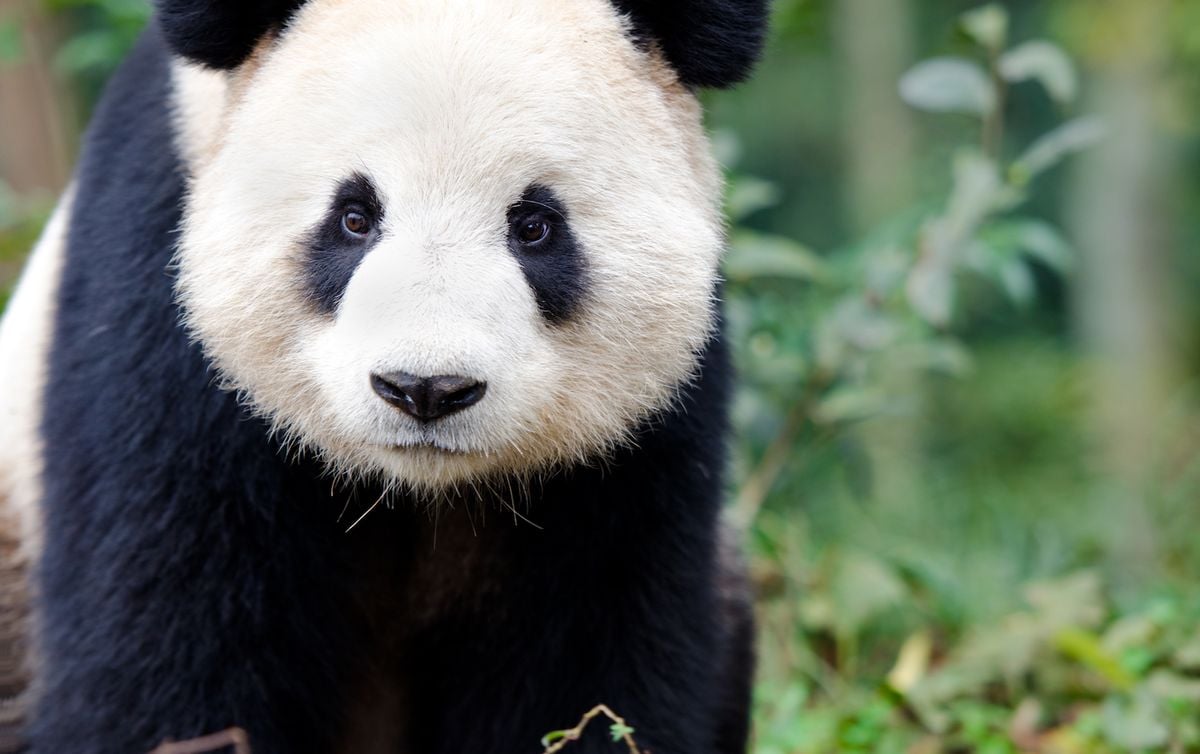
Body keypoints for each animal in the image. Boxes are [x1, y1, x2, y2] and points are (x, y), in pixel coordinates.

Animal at [0, 0, 768, 749]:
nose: (425, 390)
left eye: (534, 226)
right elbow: (163, 640)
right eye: (354, 216)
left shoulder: (633, 453)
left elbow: (594, 659)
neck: (413, 489)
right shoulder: (157, 332)